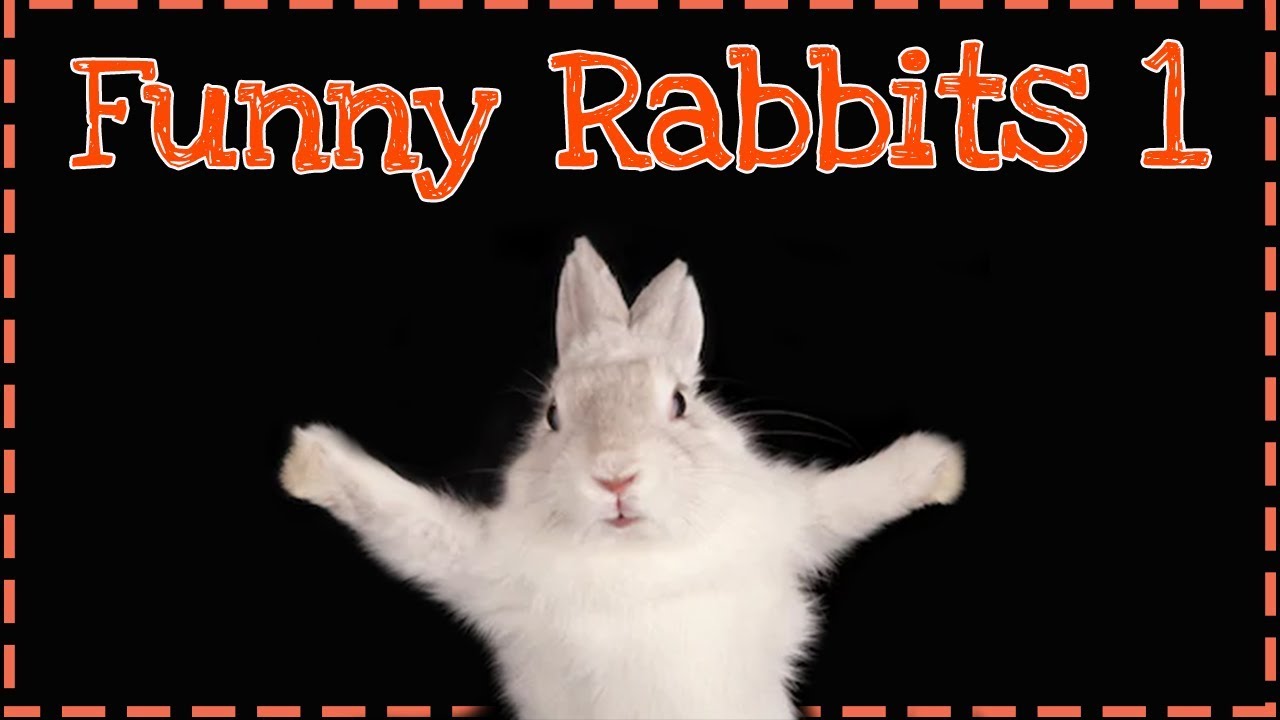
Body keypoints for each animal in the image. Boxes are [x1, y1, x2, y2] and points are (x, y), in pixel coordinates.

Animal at [280, 237, 964, 720]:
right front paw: (309, 462)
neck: (636, 559)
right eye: (553, 415)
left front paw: (941, 466)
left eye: (681, 402)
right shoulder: (481, 566)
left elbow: (847, 499)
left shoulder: (790, 521)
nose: (614, 476)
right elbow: (407, 522)